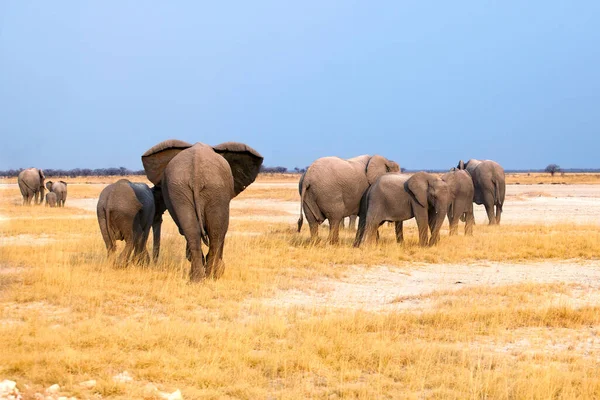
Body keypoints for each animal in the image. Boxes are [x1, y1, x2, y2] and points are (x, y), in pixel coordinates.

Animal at [142, 140, 264, 282]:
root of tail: (196, 172)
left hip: (182, 189)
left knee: (194, 231)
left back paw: (197, 279)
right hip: (214, 189)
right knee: (217, 232)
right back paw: (212, 276)